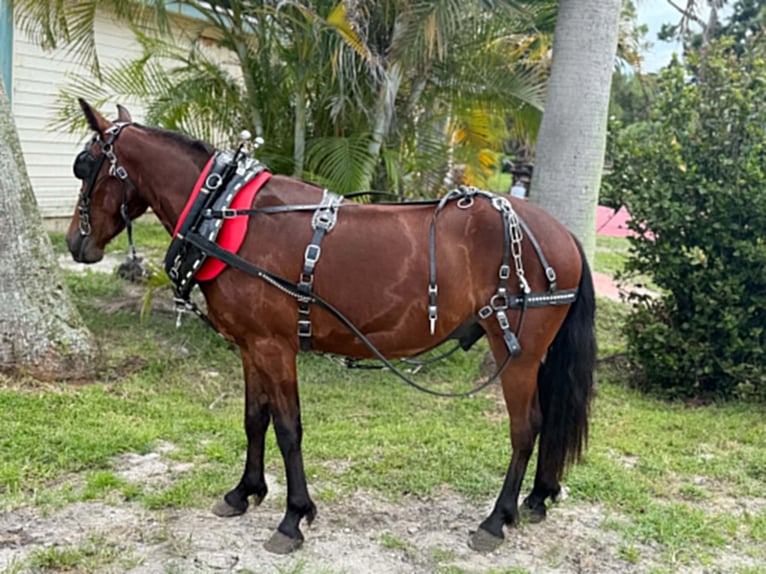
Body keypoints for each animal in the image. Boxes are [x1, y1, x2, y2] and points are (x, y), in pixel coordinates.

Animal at [66, 100, 596, 555]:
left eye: (83, 166)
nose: (74, 243)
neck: (224, 211)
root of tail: (563, 234)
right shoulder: (250, 347)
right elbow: (254, 419)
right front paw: (244, 492)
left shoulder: (275, 347)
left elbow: (288, 429)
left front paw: (293, 517)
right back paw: (537, 497)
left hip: (517, 352)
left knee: (526, 428)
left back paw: (496, 519)